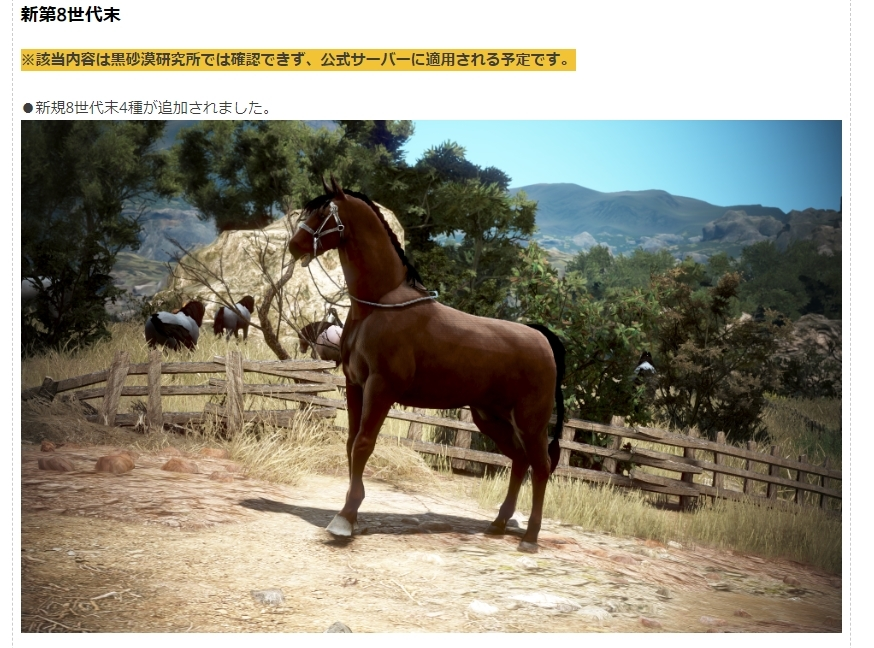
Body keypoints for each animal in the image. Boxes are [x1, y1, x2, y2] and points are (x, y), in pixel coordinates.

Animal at [287, 176, 565, 553]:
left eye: (322, 213)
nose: (294, 245)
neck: (379, 305)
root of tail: (543, 339)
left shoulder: (381, 388)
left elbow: (363, 444)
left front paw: (344, 520)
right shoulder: (354, 384)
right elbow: (350, 443)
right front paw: (352, 517)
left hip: (529, 421)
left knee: (541, 466)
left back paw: (530, 537)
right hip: (489, 417)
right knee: (520, 461)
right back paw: (497, 524)